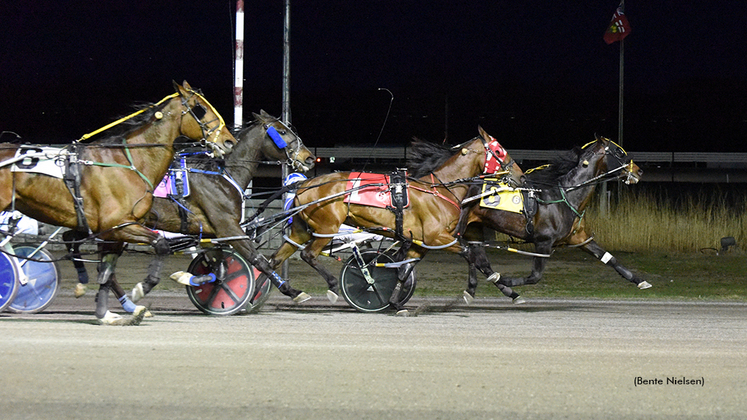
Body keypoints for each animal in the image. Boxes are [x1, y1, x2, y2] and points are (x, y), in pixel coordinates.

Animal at [0, 81, 237, 324]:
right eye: (200, 108)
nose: (229, 141)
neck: (128, 163)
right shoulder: (117, 225)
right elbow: (161, 245)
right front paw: (141, 289)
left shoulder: (116, 230)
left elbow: (107, 271)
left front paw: (106, 314)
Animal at [270, 126, 524, 314]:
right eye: (500, 151)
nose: (521, 175)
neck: (439, 189)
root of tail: (304, 183)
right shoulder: (437, 238)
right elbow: (470, 254)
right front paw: (475, 291)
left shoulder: (420, 243)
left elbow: (403, 271)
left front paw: (395, 303)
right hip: (326, 227)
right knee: (308, 255)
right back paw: (331, 286)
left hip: (302, 230)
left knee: (275, 259)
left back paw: (290, 292)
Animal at [456, 135, 648, 302]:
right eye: (619, 152)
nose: (639, 171)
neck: (567, 196)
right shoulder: (543, 242)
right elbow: (535, 276)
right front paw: (504, 280)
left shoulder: (580, 238)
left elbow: (610, 258)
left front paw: (640, 281)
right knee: (474, 258)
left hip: (473, 229)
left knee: (477, 259)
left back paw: (475, 290)